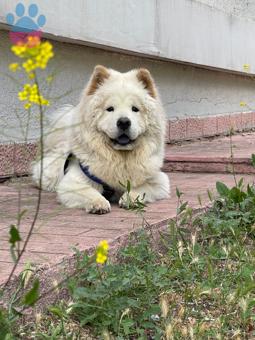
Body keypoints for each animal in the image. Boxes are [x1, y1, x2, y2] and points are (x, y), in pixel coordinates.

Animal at [32, 65, 171, 214]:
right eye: (110, 109)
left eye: (135, 109)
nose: (123, 122)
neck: (121, 159)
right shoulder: (72, 182)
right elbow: (88, 191)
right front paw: (99, 203)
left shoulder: (158, 180)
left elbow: (140, 188)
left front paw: (130, 198)